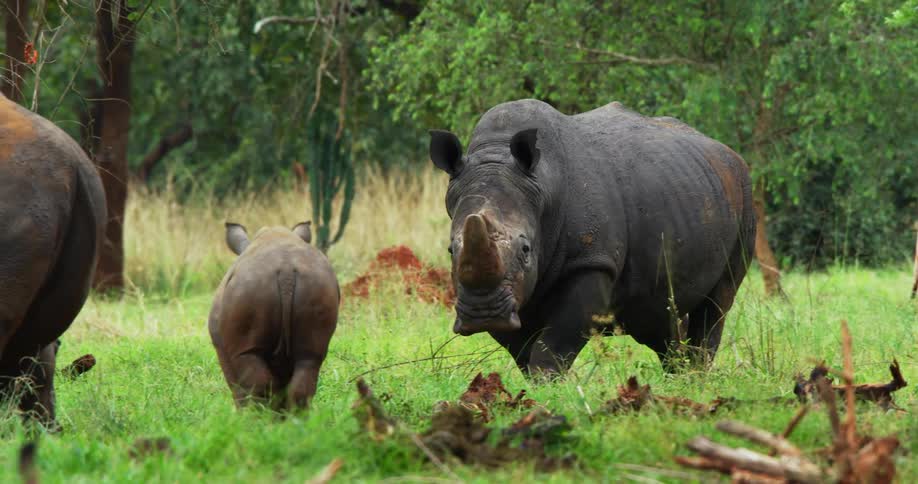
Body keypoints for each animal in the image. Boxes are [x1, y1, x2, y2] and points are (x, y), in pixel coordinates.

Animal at [209, 221, 339, 410]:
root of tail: (286, 271)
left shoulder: (221, 348)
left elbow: (235, 384)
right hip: (317, 285)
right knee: (309, 360)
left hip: (251, 288)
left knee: (251, 367)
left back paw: (259, 416)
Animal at [430, 99, 756, 375]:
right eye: (450, 250)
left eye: (525, 249)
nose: (482, 313)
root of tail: (730, 153)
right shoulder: (508, 290)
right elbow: (521, 349)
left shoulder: (591, 261)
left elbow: (554, 345)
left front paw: (546, 388)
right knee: (658, 314)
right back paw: (681, 378)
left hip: (743, 193)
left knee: (716, 304)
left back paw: (697, 378)